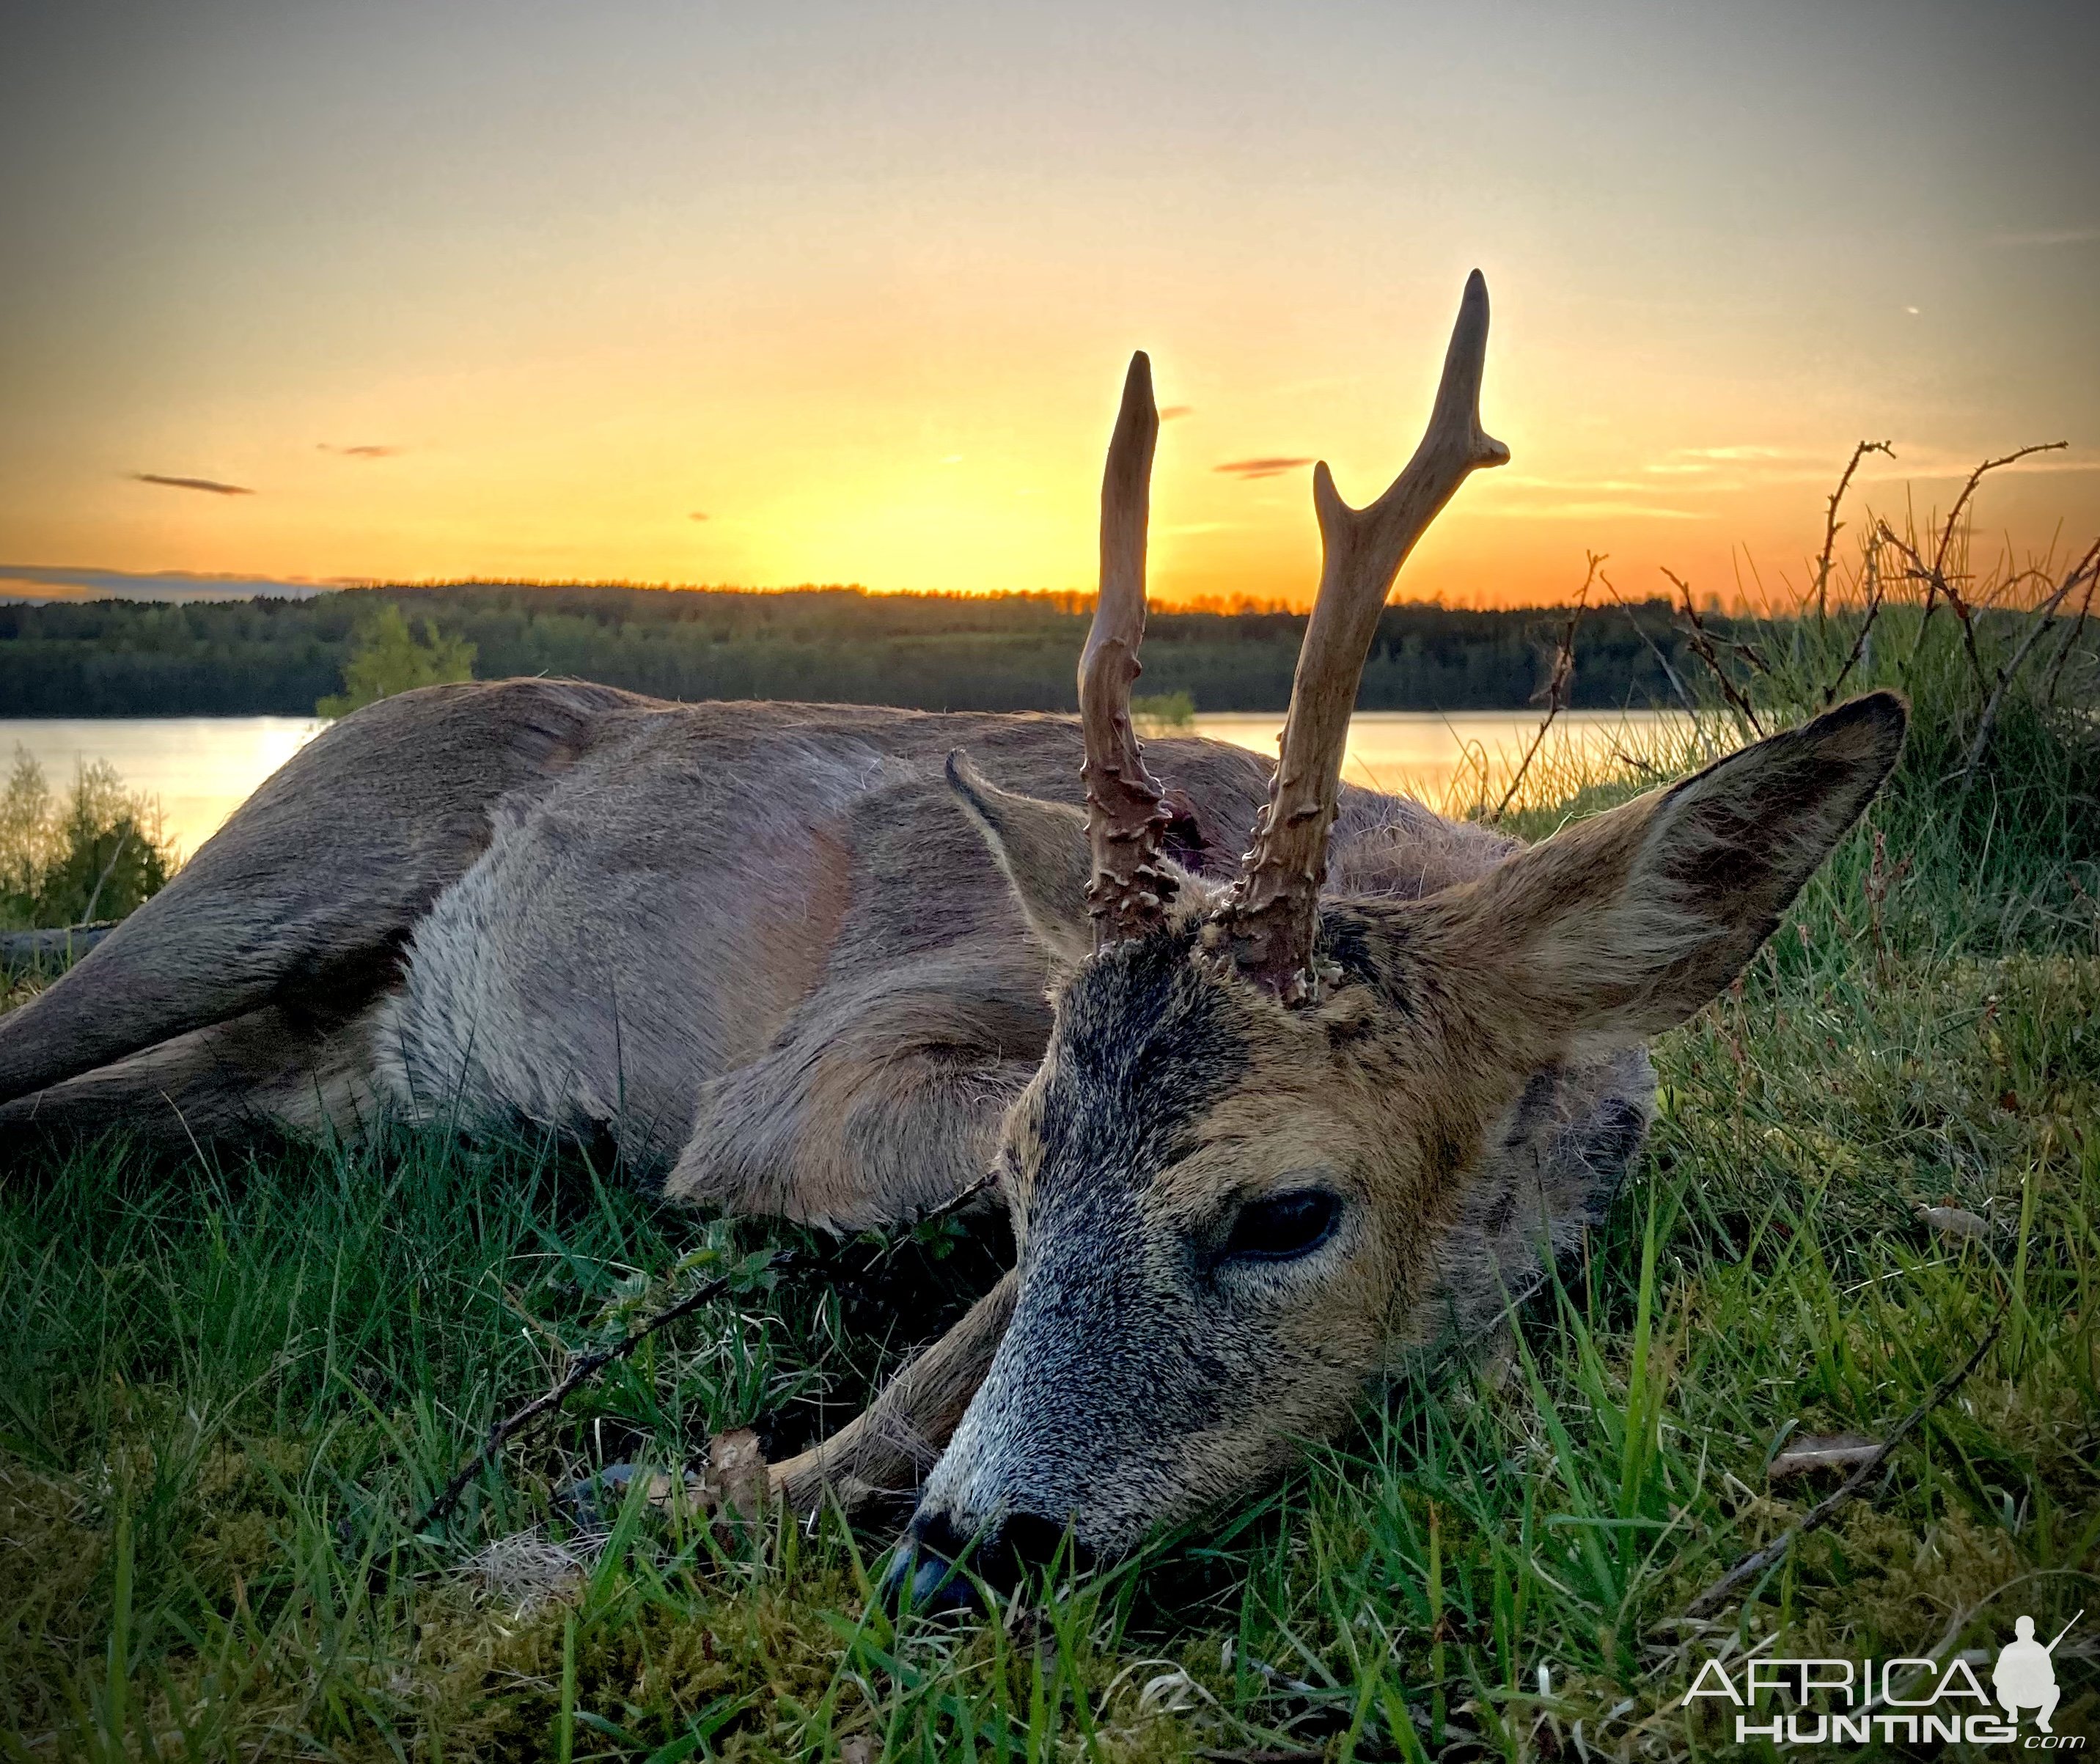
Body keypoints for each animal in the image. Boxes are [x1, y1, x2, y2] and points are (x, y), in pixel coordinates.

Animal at [0, 273, 1906, 1595]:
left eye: (1286, 1210)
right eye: (1019, 1172)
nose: (967, 1553)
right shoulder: (813, 1069)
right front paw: (728, 1479)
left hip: (300, 1072)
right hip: (273, 867)